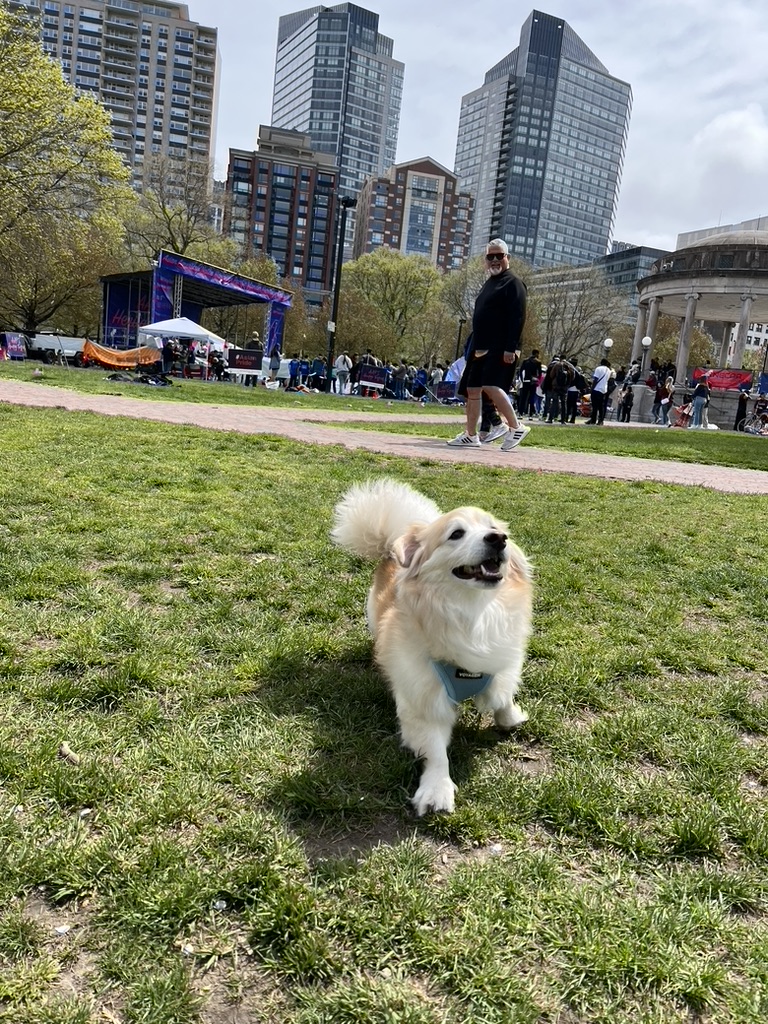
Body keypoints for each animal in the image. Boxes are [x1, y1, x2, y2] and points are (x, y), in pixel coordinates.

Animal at [331, 477, 536, 815]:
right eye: (456, 534)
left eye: (493, 527)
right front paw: (437, 789)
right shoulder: (423, 699)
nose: (499, 539)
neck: (474, 612)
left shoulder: (501, 662)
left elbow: (501, 697)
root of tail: (389, 549)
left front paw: (510, 718)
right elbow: (436, 750)